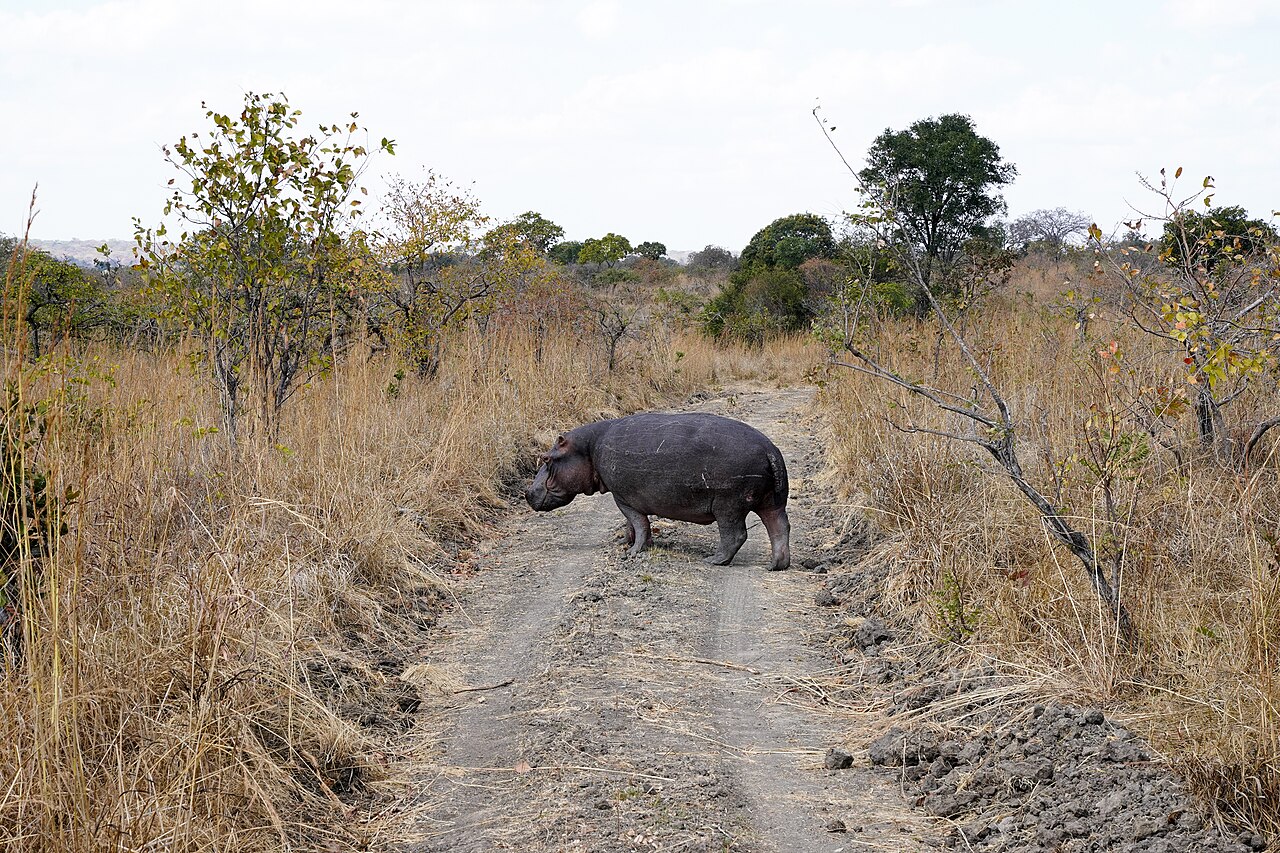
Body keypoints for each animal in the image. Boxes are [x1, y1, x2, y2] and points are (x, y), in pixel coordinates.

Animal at [525, 413, 791, 571]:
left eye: (546, 458)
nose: (528, 492)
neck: (588, 448)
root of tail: (770, 449)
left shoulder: (623, 498)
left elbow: (639, 523)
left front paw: (633, 552)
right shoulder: (626, 498)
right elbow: (632, 525)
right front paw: (623, 542)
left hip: (728, 505)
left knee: (735, 534)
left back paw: (713, 560)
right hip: (772, 502)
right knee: (779, 528)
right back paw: (776, 566)